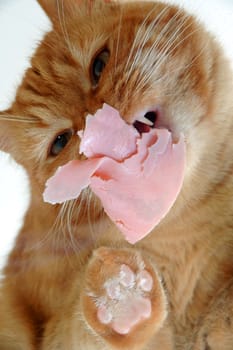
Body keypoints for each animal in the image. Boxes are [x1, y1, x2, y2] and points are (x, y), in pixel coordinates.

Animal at [0, 0, 233, 350]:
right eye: (60, 142)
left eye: (99, 65)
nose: (97, 121)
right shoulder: (56, 332)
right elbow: (85, 329)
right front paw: (123, 299)